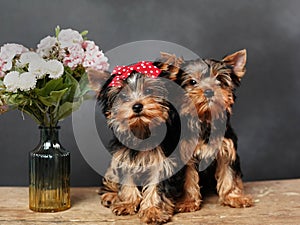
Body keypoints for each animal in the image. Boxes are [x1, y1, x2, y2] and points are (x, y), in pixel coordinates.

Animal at [88, 60, 184, 224]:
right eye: (123, 96)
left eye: (148, 90)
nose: (137, 106)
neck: (141, 132)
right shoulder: (123, 158)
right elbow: (127, 180)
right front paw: (127, 203)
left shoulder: (163, 163)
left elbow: (156, 187)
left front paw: (153, 210)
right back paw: (111, 195)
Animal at [155, 49, 253, 213]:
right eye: (193, 82)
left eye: (219, 80)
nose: (209, 91)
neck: (205, 118)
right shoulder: (186, 154)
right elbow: (189, 178)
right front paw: (188, 201)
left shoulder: (226, 149)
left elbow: (229, 173)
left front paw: (233, 197)